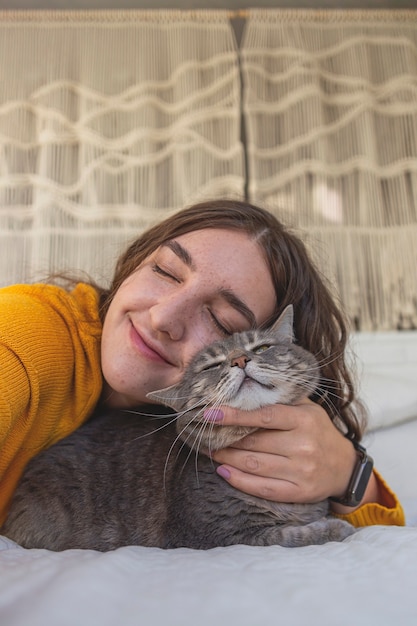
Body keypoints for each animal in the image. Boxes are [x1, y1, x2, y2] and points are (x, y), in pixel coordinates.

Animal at [1, 304, 352, 548]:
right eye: (211, 366)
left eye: (262, 348)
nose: (240, 360)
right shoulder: (216, 533)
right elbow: (287, 536)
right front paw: (336, 527)